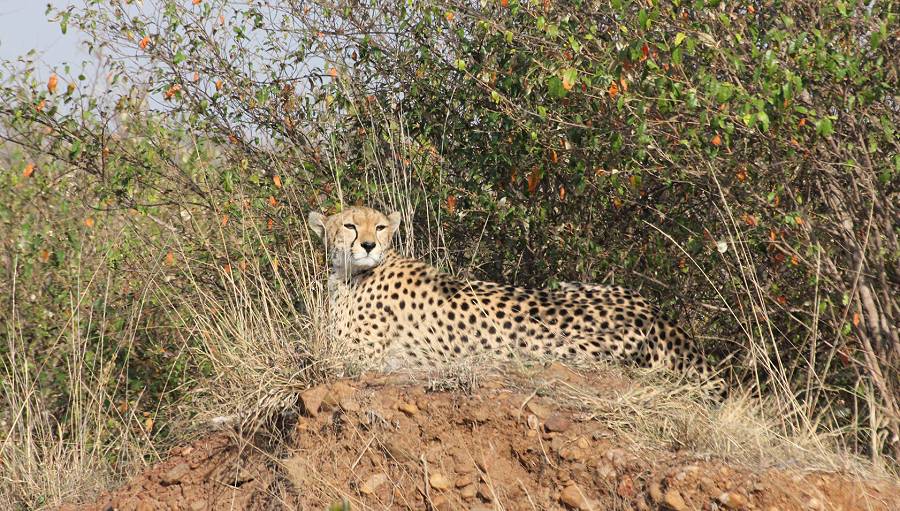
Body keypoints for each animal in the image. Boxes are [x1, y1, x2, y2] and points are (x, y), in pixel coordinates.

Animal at [312, 206, 720, 390]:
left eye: (380, 227)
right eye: (349, 225)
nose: (368, 244)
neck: (351, 273)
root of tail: (661, 318)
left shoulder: (357, 357)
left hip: (555, 349)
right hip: (577, 285)